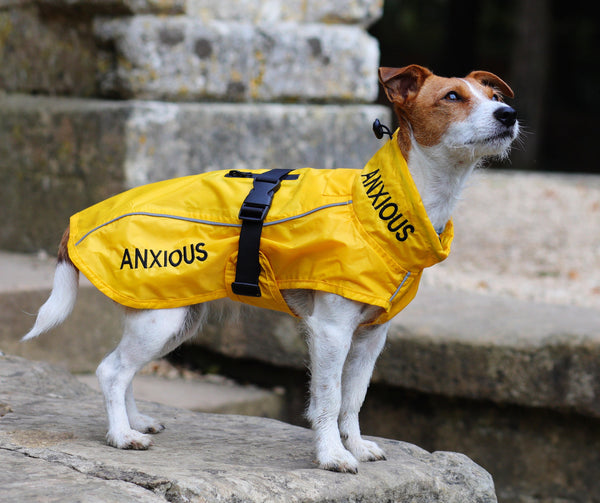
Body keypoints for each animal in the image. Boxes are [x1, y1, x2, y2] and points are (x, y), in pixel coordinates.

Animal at [23, 65, 516, 474]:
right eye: (452, 96)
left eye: (493, 94)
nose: (508, 113)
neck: (378, 211)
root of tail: (79, 222)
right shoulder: (330, 332)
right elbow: (329, 397)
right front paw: (332, 455)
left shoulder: (372, 337)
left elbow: (354, 399)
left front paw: (356, 446)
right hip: (159, 320)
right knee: (110, 371)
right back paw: (121, 435)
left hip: (174, 318)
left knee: (124, 370)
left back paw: (136, 421)